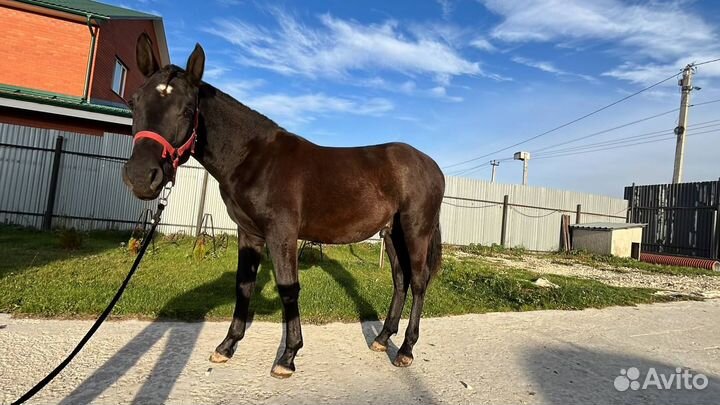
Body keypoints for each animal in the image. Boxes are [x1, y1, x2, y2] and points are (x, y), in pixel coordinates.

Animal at [122, 33, 445, 378]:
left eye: (187, 109)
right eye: (134, 102)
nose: (141, 177)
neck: (253, 158)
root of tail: (432, 166)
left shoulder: (281, 233)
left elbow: (288, 288)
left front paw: (288, 356)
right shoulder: (249, 233)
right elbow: (244, 285)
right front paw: (227, 346)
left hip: (415, 231)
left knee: (419, 282)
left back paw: (406, 350)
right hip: (392, 232)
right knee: (400, 280)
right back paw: (383, 339)